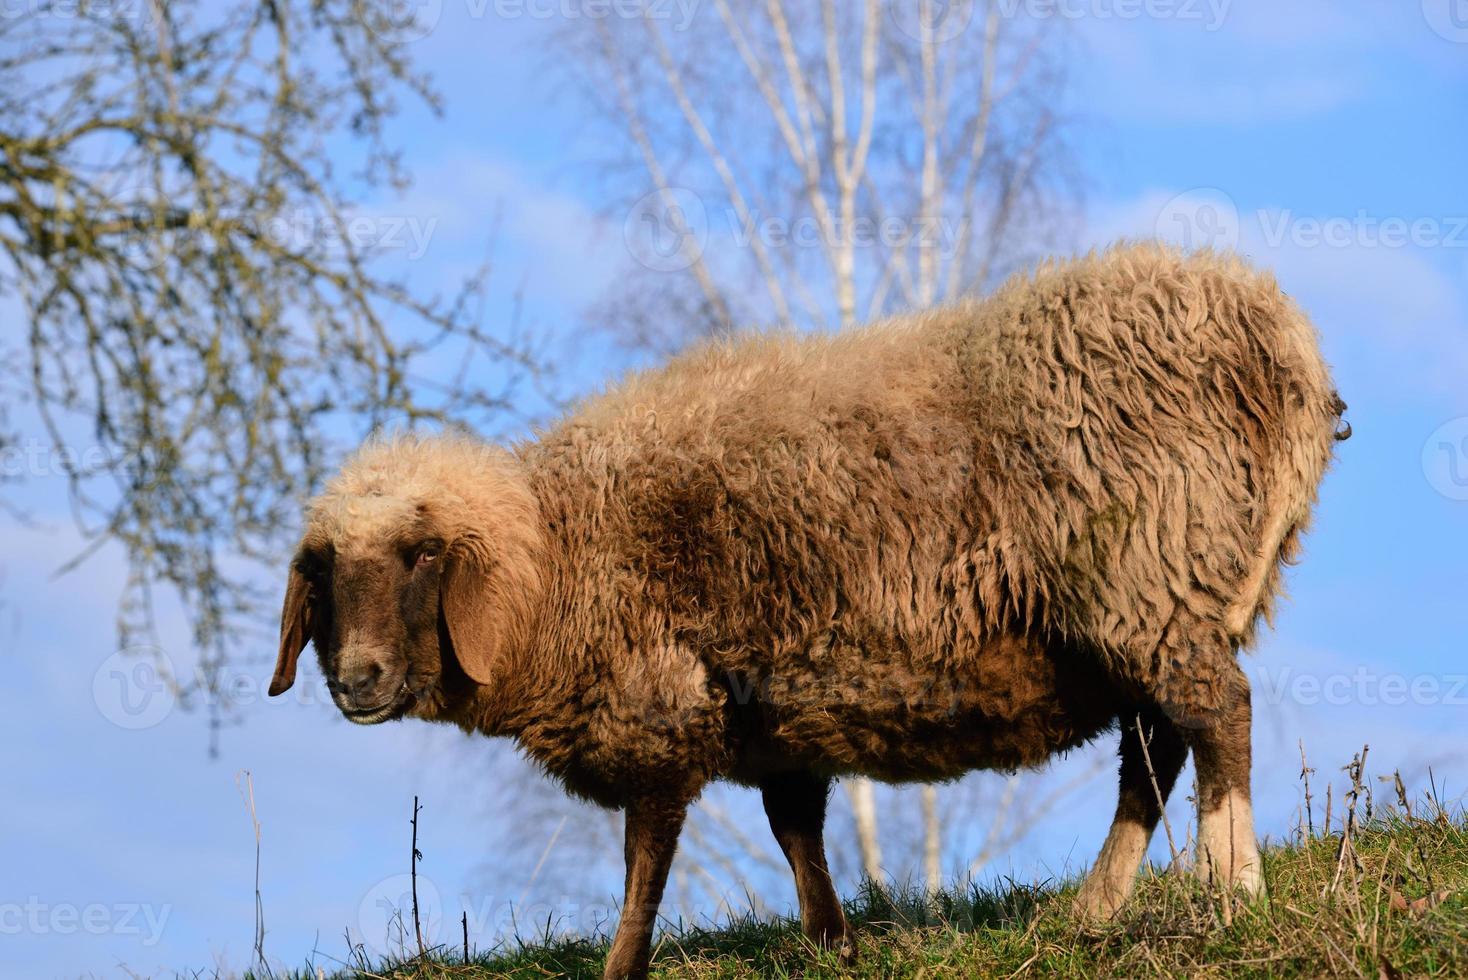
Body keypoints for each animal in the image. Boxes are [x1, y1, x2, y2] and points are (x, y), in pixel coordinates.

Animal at [270, 240, 1344, 974]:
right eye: (321, 570)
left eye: (422, 555)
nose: (356, 680)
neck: (563, 556)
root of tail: (1279, 336)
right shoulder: (772, 708)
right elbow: (795, 827)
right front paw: (833, 942)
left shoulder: (661, 706)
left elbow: (647, 858)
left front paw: (621, 967)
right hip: (1146, 609)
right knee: (1153, 750)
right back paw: (1097, 909)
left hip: (1149, 571)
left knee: (1218, 716)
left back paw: (1232, 884)